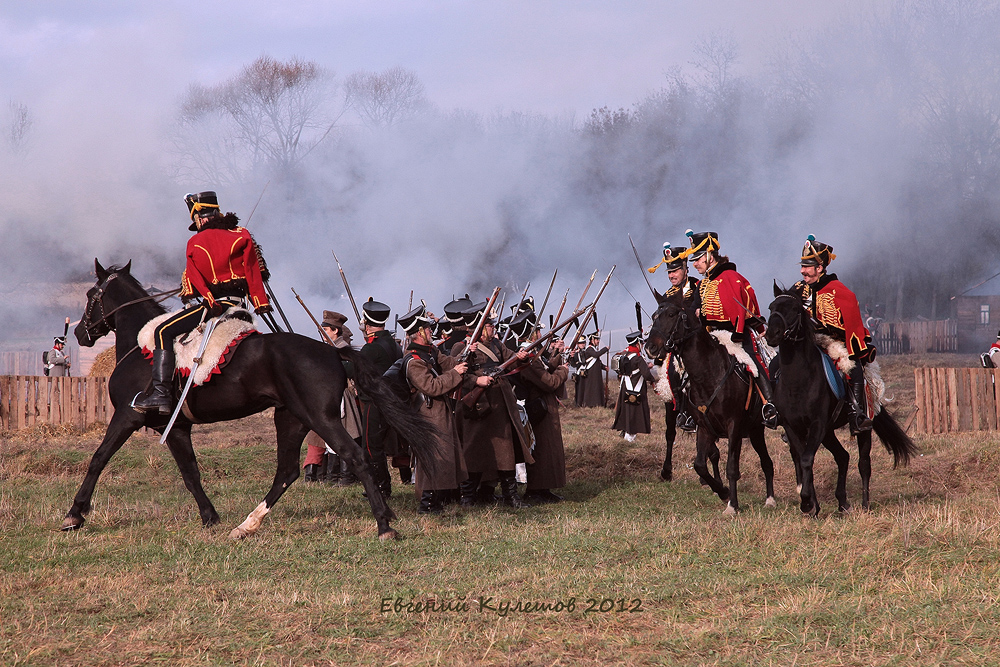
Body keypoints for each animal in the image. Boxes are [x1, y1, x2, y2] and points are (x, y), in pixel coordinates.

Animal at [62, 260, 438, 544]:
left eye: (91, 294)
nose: (80, 333)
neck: (142, 347)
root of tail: (333, 351)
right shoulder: (177, 427)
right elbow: (190, 473)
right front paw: (210, 517)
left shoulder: (127, 417)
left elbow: (98, 459)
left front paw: (74, 514)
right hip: (291, 418)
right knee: (287, 471)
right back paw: (246, 525)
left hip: (322, 418)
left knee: (356, 457)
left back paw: (384, 525)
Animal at [644, 290, 776, 516]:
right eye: (654, 316)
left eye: (671, 314)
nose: (650, 347)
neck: (708, 374)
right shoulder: (704, 427)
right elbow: (700, 464)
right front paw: (723, 492)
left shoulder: (734, 426)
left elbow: (731, 467)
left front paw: (732, 505)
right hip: (753, 430)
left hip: (757, 428)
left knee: (771, 461)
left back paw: (774, 499)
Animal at [768, 288, 916, 516]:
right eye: (771, 308)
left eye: (793, 309)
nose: (771, 334)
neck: (798, 382)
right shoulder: (793, 428)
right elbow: (803, 460)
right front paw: (811, 505)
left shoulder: (817, 425)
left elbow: (807, 459)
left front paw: (806, 502)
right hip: (828, 433)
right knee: (843, 456)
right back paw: (842, 502)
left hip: (861, 428)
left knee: (863, 464)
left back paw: (864, 504)